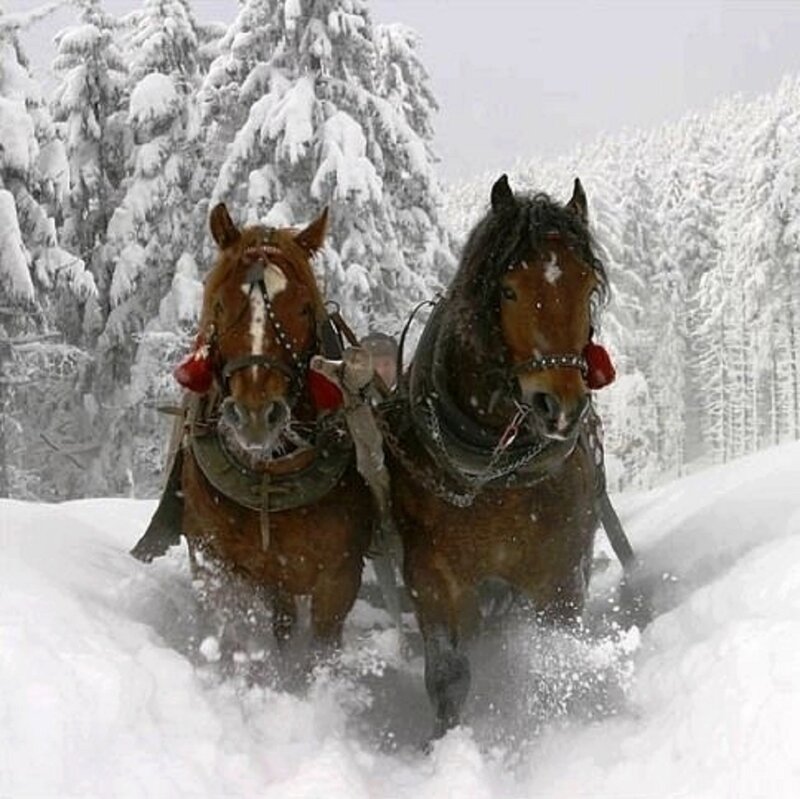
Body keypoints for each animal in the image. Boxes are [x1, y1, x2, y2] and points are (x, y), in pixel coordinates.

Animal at [153, 204, 377, 661]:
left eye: (306, 309)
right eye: (220, 305)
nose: (256, 414)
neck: (268, 479)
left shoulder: (339, 577)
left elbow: (319, 652)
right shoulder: (213, 560)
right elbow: (230, 633)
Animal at [384, 175, 612, 738]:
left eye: (586, 287)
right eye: (508, 290)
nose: (560, 405)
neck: (495, 473)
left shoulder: (560, 574)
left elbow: (556, 661)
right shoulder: (433, 576)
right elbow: (448, 676)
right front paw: (445, 744)